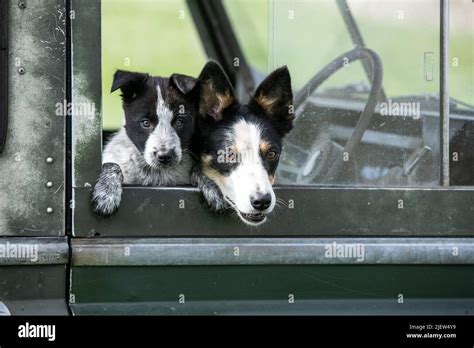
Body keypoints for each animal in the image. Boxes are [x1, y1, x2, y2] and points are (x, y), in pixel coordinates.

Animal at [92, 69, 198, 216]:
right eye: (145, 123)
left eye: (179, 122)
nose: (164, 157)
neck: (155, 172)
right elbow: (112, 164)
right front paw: (106, 194)